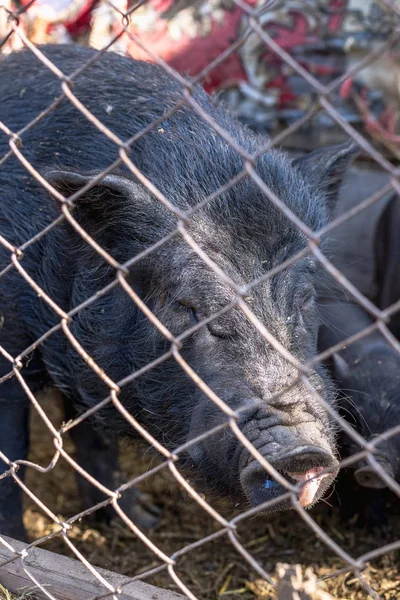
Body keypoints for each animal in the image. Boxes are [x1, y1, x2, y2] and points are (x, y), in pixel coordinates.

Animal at [0, 43, 356, 540]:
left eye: (304, 298)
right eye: (188, 305)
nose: (303, 452)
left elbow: (95, 439)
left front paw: (140, 522)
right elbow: (12, 452)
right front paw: (16, 541)